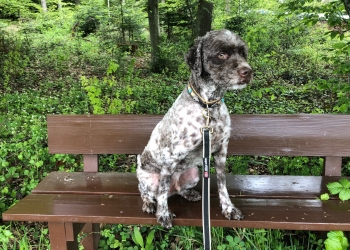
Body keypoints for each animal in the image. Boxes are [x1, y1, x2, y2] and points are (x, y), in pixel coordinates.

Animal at [136, 29, 252, 229]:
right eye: (222, 54)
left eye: (243, 53)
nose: (248, 71)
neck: (208, 106)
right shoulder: (170, 157)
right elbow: (162, 193)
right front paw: (163, 215)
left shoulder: (221, 152)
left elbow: (222, 184)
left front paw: (228, 208)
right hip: (146, 177)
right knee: (153, 192)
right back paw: (149, 203)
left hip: (193, 173)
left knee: (176, 190)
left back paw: (188, 193)